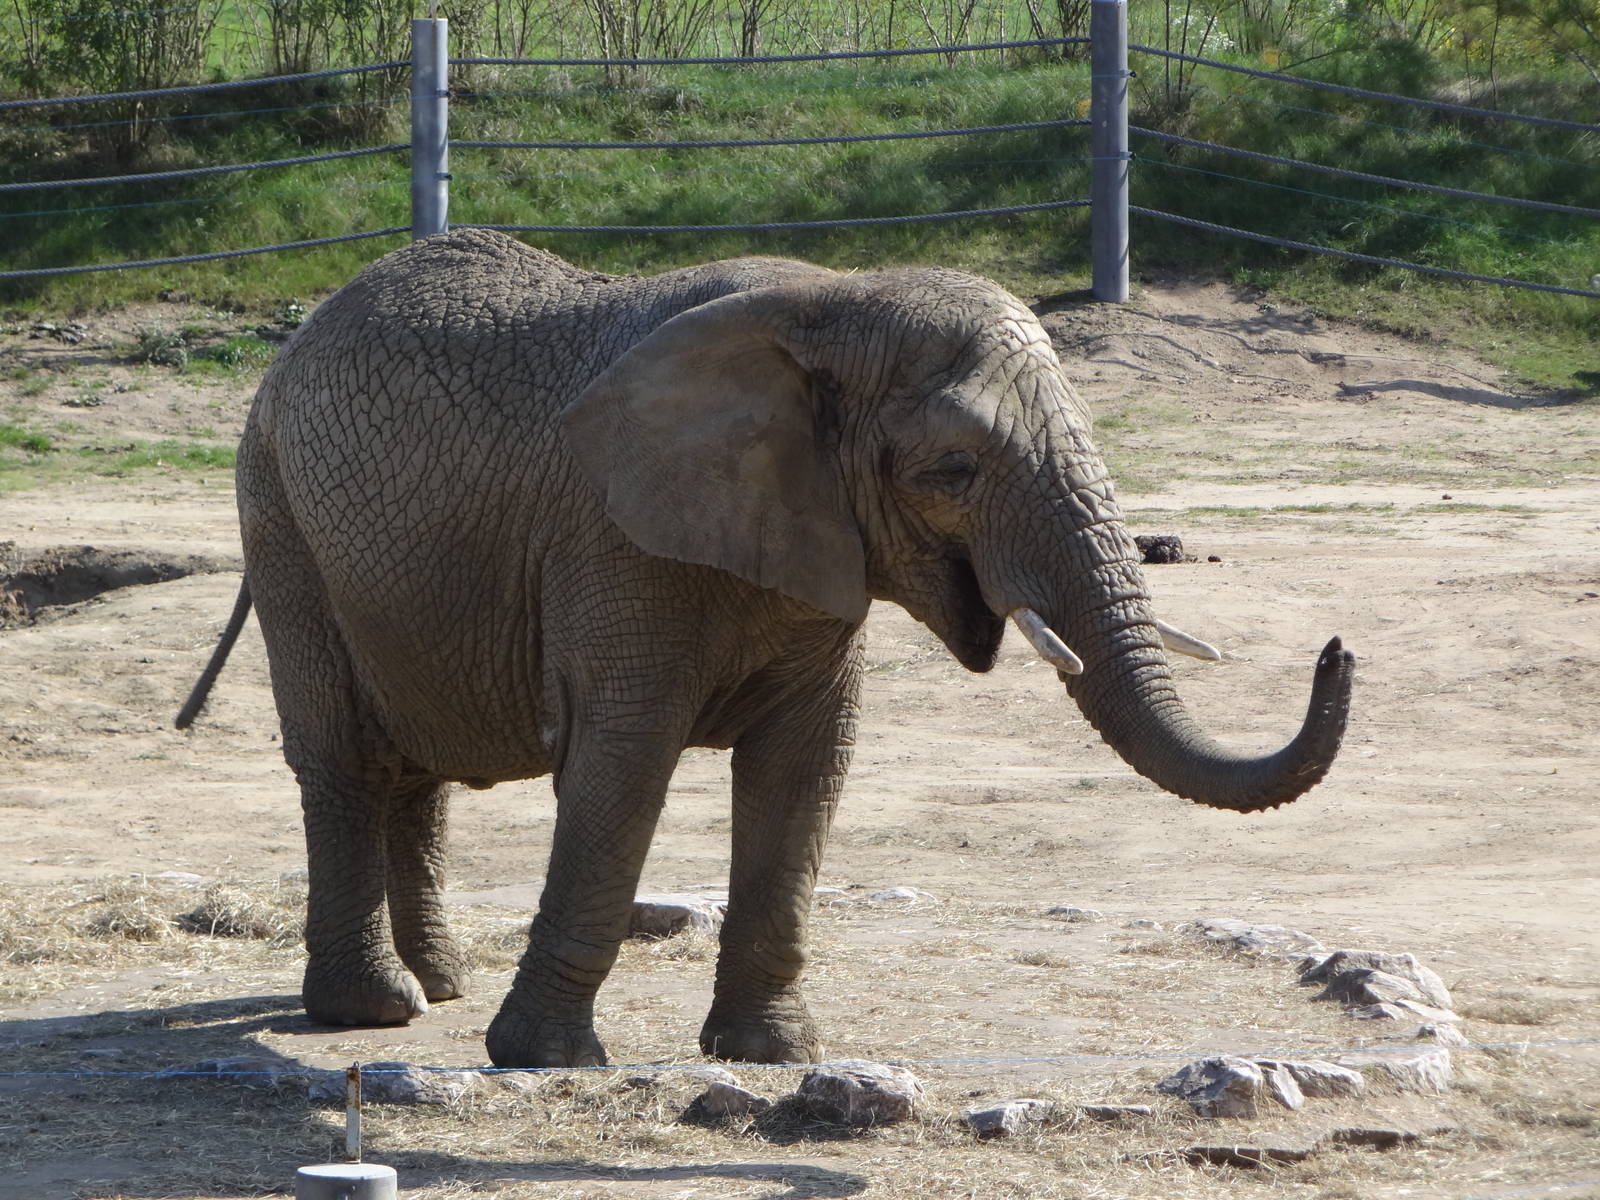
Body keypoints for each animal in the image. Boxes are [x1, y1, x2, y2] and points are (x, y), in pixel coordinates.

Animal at [177, 228, 1353, 1068]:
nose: (1335, 652)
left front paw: (772, 1056)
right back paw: (372, 1012)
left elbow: (806, 770)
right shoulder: (616, 539)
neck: (837, 301)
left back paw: (441, 988)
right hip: (278, 517)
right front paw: (549, 1061)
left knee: (415, 764)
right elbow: (621, 768)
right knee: (345, 755)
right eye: (953, 471)